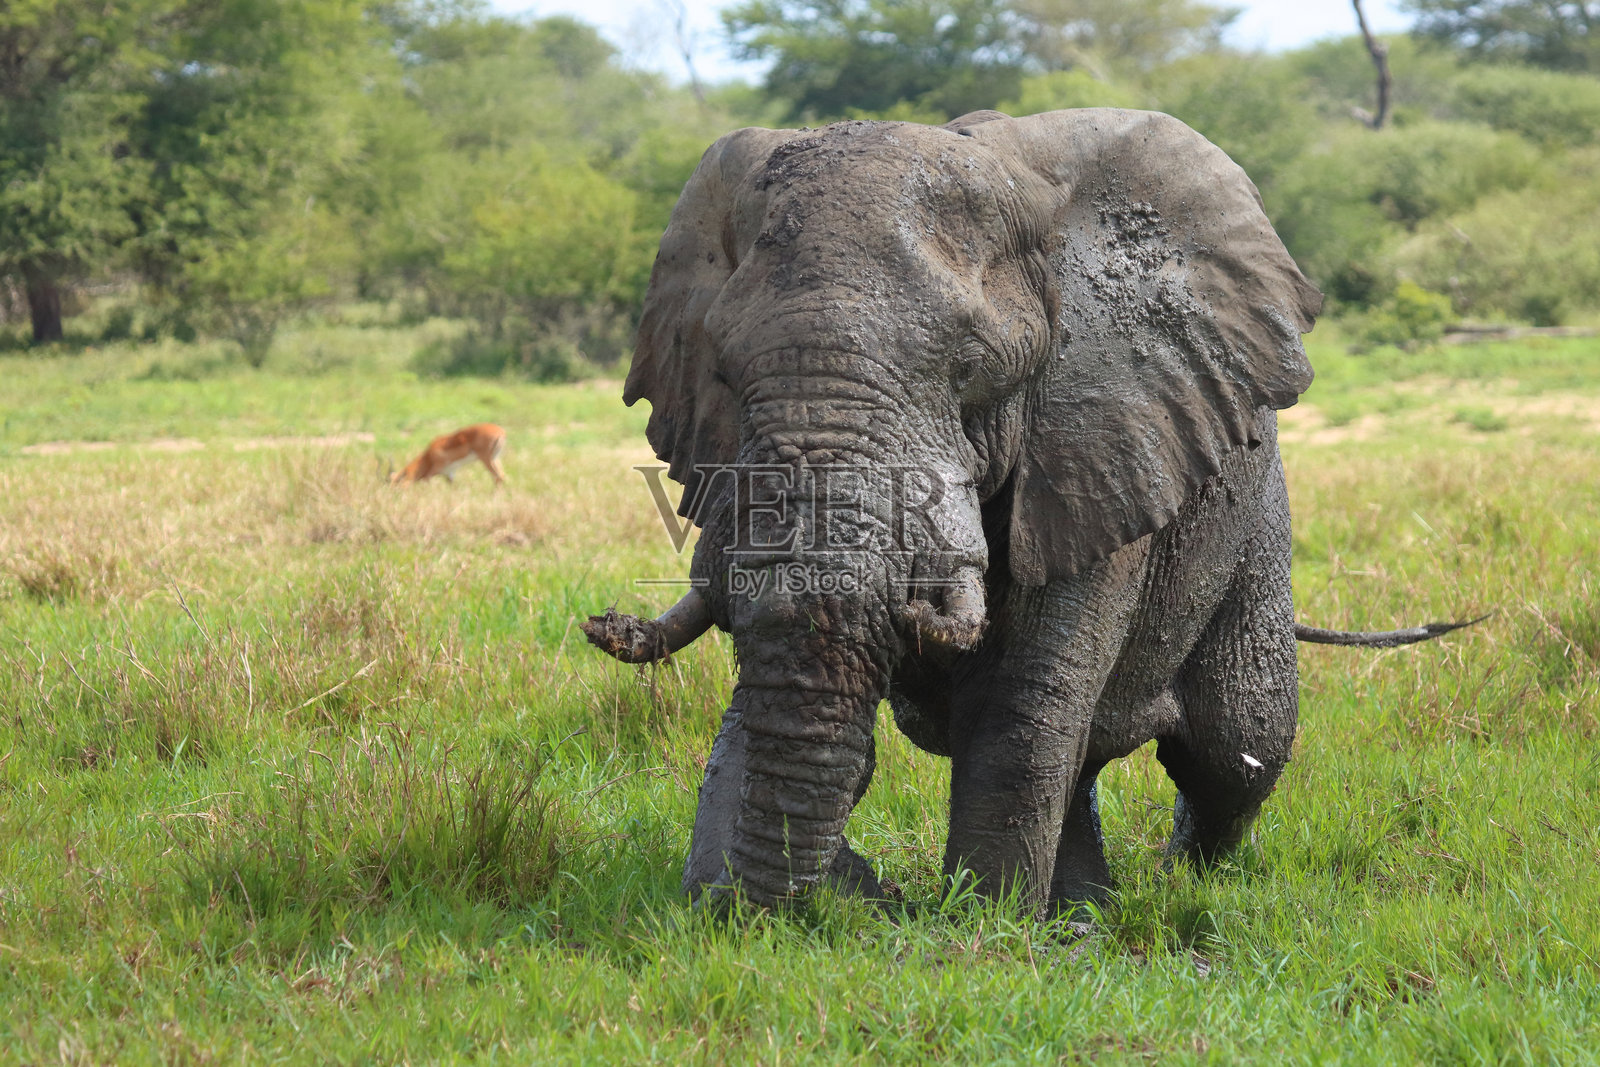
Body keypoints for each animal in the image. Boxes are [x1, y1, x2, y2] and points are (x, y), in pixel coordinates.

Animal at [582, 108, 1472, 915]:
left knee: (1237, 741)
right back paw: (1084, 915)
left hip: (1255, 527)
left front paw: (986, 930)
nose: (603, 623)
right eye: (724, 373)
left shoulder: (1100, 440)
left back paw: (1170, 887)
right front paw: (736, 902)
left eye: (971, 368)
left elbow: (1019, 704)